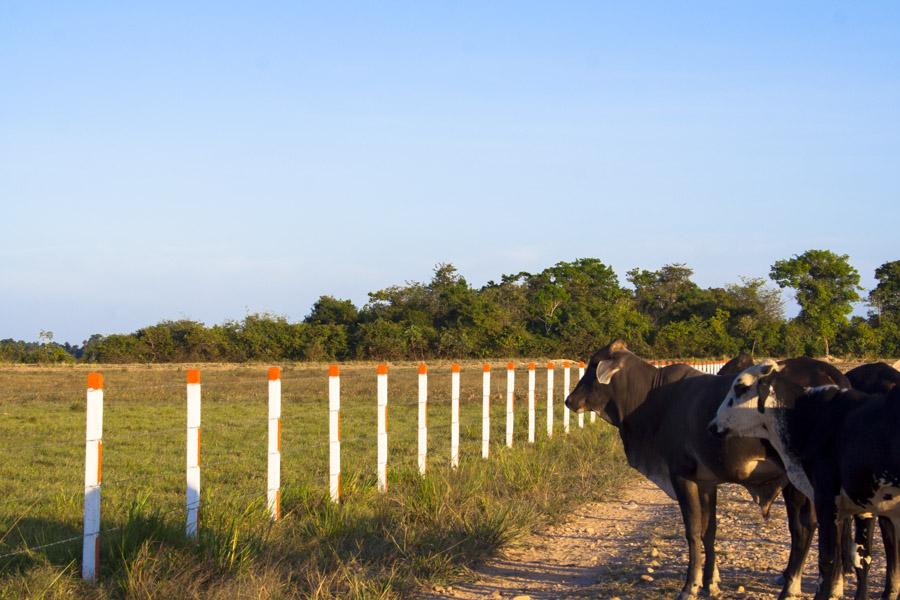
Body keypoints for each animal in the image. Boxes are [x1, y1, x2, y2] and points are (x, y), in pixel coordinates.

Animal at [712, 360, 900, 600]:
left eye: (740, 387)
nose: (712, 424)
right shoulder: (861, 504)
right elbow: (860, 556)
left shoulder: (824, 499)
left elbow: (823, 554)